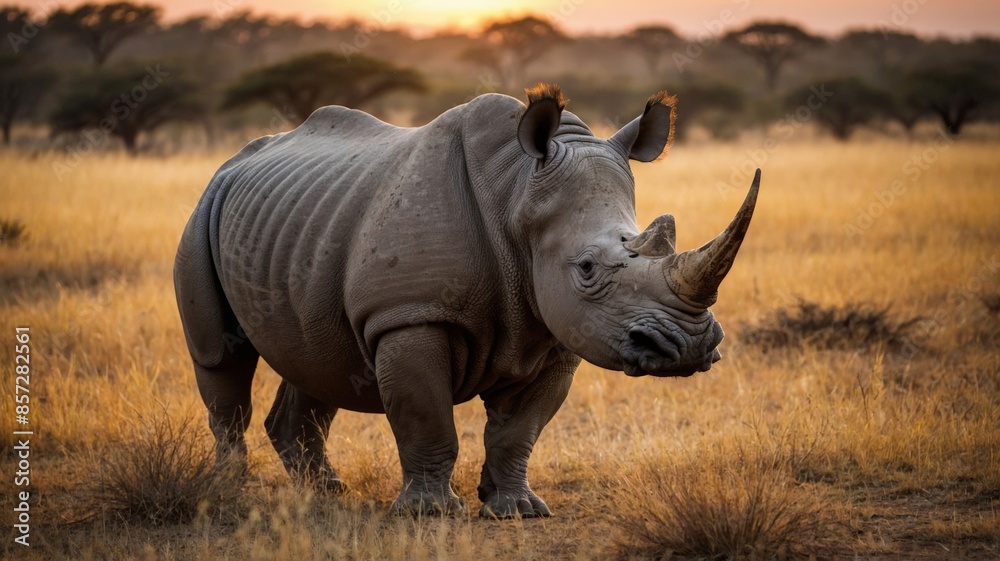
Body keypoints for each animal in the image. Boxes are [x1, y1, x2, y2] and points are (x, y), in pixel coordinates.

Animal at [174, 84, 760, 518]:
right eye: (587, 269)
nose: (690, 346)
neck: (519, 193)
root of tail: (234, 160)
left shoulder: (559, 332)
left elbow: (519, 431)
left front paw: (517, 511)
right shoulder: (409, 316)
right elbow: (426, 417)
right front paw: (428, 513)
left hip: (303, 225)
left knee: (320, 357)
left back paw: (328, 495)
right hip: (204, 208)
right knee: (220, 356)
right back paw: (229, 494)